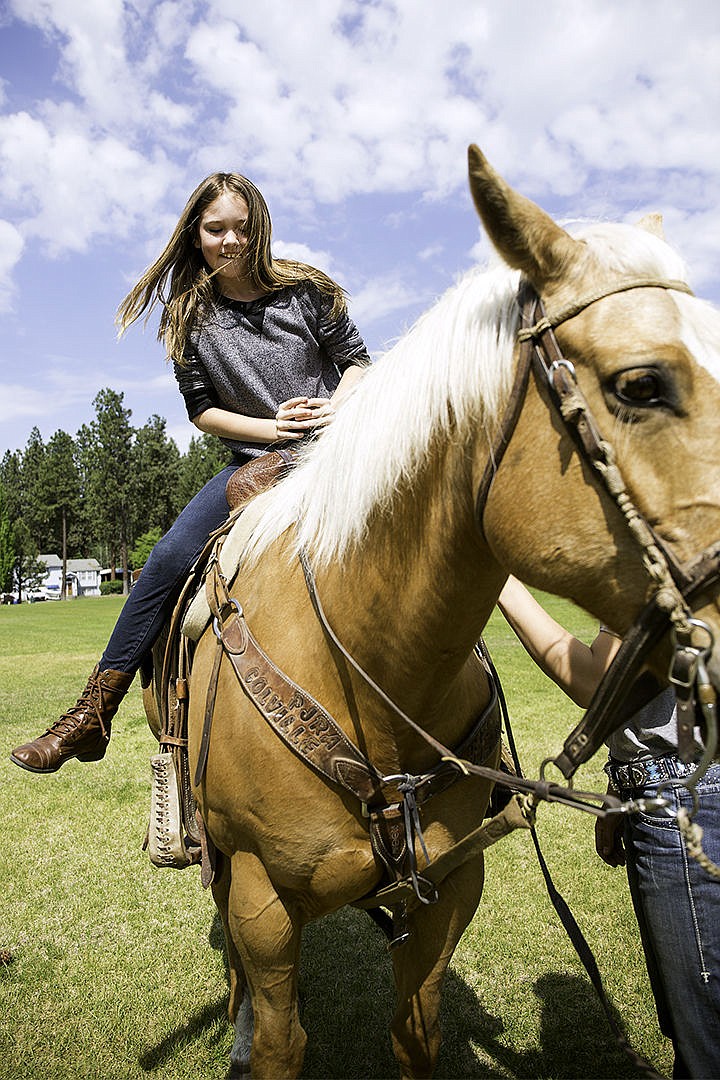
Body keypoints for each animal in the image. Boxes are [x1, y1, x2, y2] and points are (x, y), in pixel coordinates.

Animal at [181, 147, 720, 1075]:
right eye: (641, 383)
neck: (365, 664)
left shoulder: (450, 889)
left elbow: (417, 1032)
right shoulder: (258, 897)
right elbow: (284, 1038)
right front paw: (256, 1036)